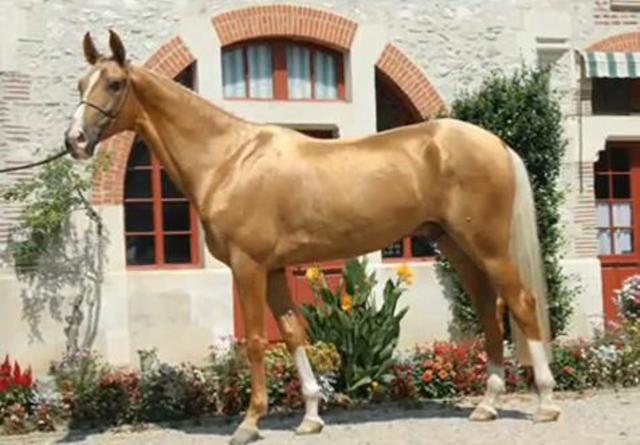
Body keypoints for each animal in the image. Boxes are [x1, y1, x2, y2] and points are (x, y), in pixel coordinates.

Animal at [64, 30, 561, 444]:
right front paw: (310, 416)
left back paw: (546, 402)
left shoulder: (248, 267)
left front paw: (249, 423)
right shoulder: (275, 269)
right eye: (80, 83)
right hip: (457, 248)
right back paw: (487, 404)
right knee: (489, 311)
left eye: (113, 83)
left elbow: (257, 341)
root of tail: (496, 144)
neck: (230, 160)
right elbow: (292, 334)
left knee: (522, 304)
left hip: (488, 247)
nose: (75, 140)